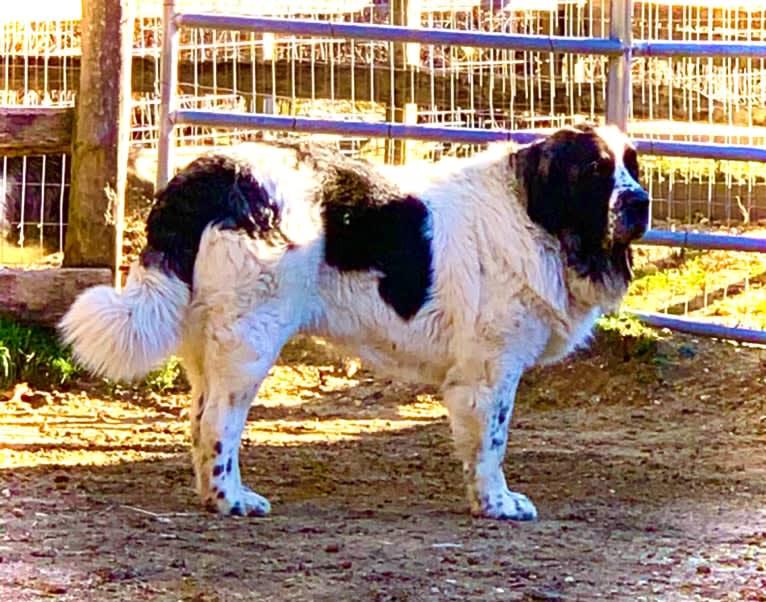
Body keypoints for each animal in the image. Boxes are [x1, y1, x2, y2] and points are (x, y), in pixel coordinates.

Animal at [58, 124, 648, 516]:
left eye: (633, 168)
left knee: (199, 419)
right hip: (250, 339)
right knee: (219, 423)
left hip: (206, 340)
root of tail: (216, 172)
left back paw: (212, 495)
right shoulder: (491, 371)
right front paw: (497, 503)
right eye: (595, 172)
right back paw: (233, 500)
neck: (534, 217)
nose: (640, 201)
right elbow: (492, 443)